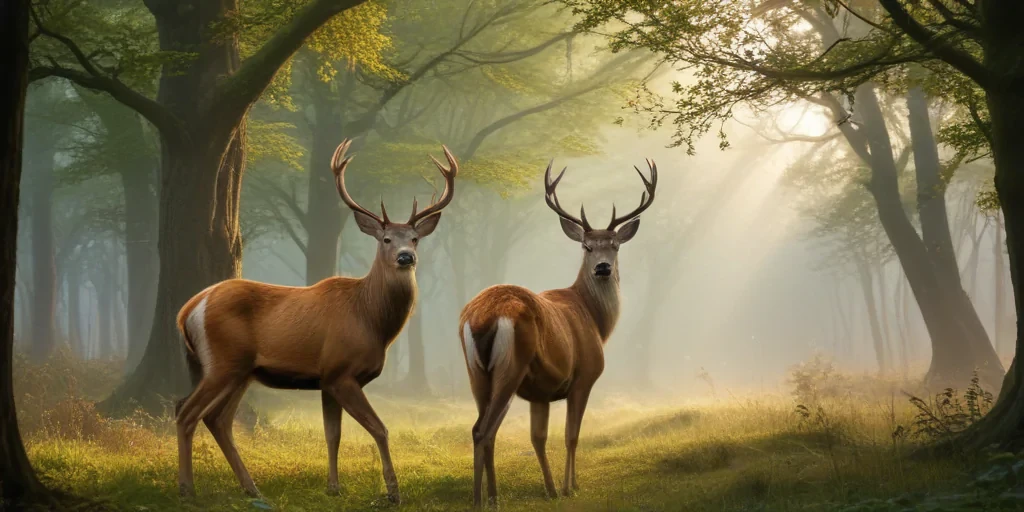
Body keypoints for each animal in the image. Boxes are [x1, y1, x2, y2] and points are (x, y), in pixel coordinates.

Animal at [173, 138, 458, 505]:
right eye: (386, 239)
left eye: (415, 238)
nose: (406, 257)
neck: (370, 320)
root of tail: (188, 309)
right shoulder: (341, 370)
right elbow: (379, 428)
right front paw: (393, 491)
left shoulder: (327, 379)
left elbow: (332, 434)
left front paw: (333, 487)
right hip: (223, 361)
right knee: (186, 411)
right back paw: (187, 490)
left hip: (241, 371)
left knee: (217, 419)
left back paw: (251, 487)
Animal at [458, 158, 657, 506]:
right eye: (587, 246)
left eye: (615, 245)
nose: (603, 267)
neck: (595, 321)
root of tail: (482, 316)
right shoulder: (584, 376)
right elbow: (572, 436)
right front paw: (569, 487)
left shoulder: (541, 392)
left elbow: (538, 438)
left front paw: (551, 489)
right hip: (511, 366)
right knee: (483, 430)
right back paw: (482, 500)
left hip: (477, 373)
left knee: (484, 429)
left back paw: (490, 498)